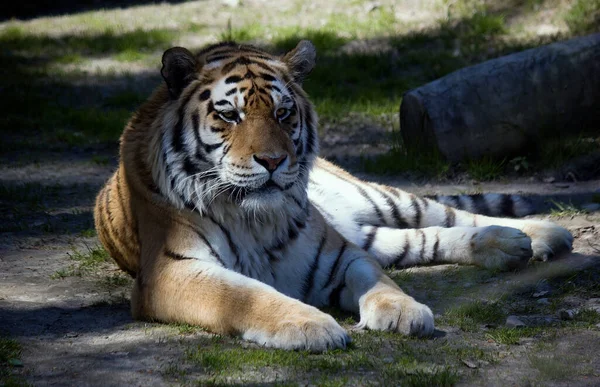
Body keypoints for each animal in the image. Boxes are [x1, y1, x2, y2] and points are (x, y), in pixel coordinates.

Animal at [94, 39, 572, 352]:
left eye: (283, 113)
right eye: (229, 115)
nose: (272, 161)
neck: (255, 219)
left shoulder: (339, 253)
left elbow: (381, 282)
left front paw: (403, 310)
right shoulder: (170, 270)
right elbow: (245, 295)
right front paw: (309, 324)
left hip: (378, 202)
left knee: (452, 217)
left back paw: (540, 234)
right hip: (370, 232)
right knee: (423, 239)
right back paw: (515, 245)